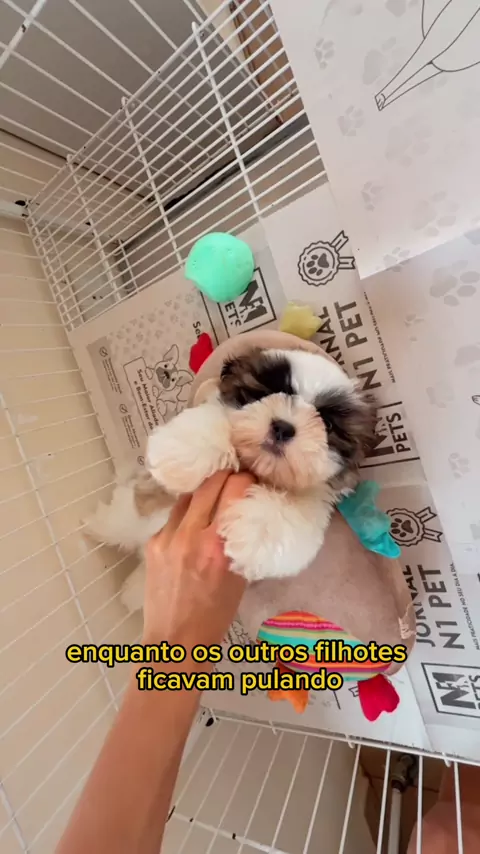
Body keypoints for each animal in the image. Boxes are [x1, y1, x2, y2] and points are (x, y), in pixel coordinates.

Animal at [85, 346, 377, 613]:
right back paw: (97, 527)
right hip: (136, 508)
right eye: (264, 394)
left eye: (328, 425)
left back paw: (133, 591)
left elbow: (286, 517)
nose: (283, 428)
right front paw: (183, 453)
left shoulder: (313, 503)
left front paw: (252, 536)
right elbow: (213, 423)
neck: (257, 467)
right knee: (124, 517)